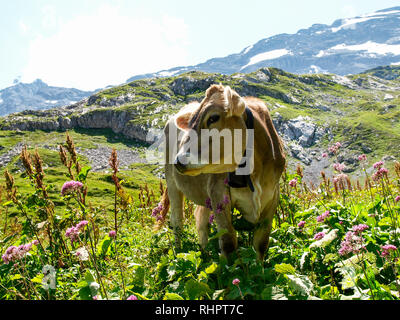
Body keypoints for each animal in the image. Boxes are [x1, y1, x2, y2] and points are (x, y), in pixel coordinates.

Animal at [159, 84, 284, 262]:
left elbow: (261, 244)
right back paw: (179, 252)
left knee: (201, 220)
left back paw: (205, 254)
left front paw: (259, 268)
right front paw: (225, 268)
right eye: (191, 122)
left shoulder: (272, 197)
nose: (179, 160)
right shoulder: (218, 193)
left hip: (203, 193)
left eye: (213, 118)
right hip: (172, 184)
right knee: (177, 221)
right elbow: (228, 243)